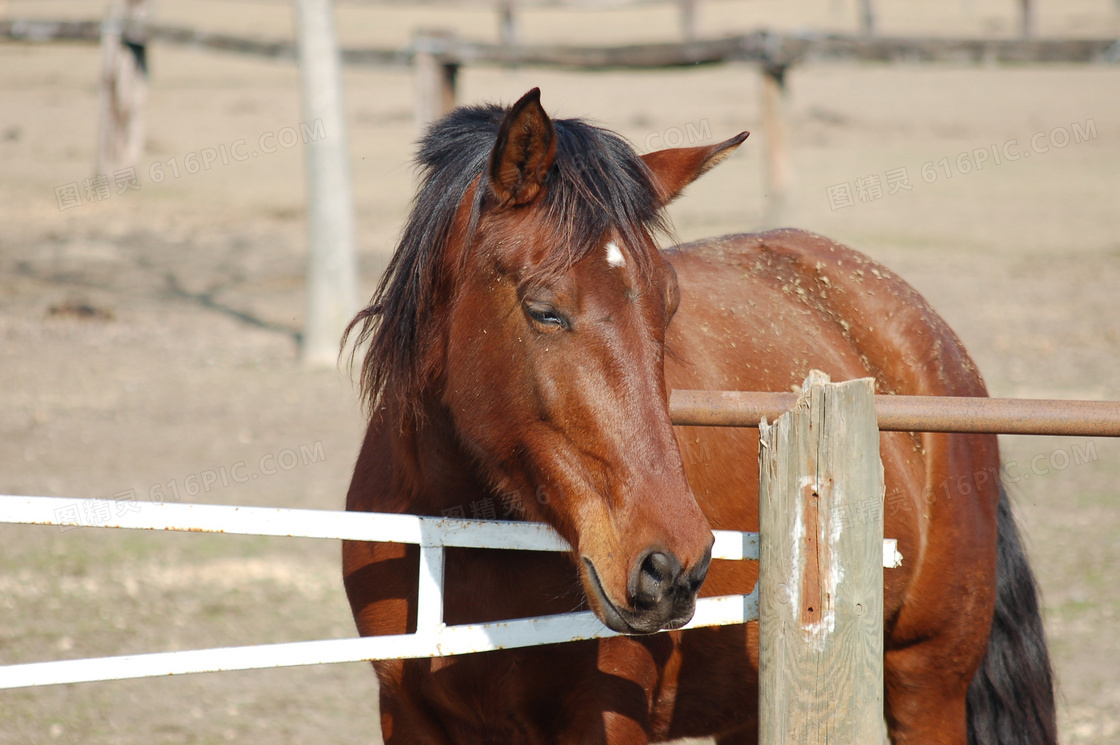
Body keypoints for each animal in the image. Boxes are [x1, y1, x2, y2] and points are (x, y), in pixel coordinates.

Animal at [338, 88, 1048, 743]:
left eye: (668, 305)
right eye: (544, 310)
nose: (672, 567)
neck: (463, 542)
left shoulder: (607, 718)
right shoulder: (406, 715)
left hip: (926, 681)